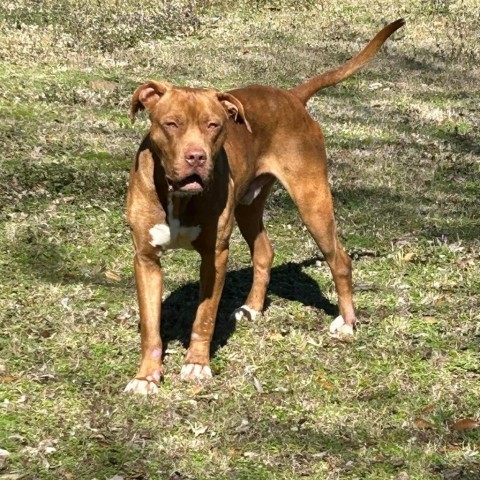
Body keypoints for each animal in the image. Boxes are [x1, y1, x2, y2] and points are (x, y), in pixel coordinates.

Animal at [124, 18, 404, 394]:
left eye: (214, 125)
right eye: (171, 123)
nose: (196, 157)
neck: (178, 197)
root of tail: (292, 96)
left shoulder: (215, 256)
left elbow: (204, 316)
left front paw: (197, 365)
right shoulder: (146, 259)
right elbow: (151, 327)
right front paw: (146, 377)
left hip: (312, 201)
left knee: (339, 259)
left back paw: (347, 322)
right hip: (248, 206)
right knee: (264, 251)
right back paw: (253, 308)